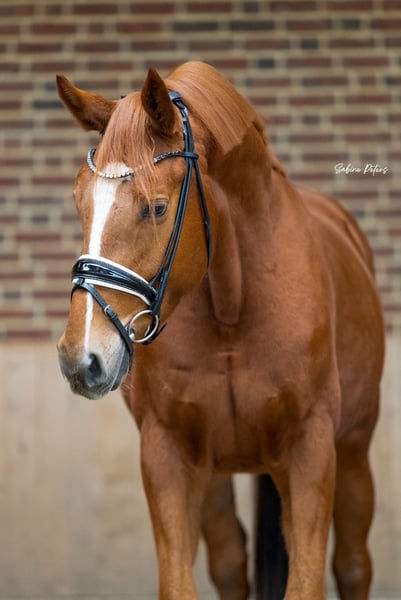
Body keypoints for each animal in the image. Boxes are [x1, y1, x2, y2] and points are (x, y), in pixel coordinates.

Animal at [56, 61, 385, 600]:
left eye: (156, 207)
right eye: (81, 202)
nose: (81, 359)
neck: (234, 306)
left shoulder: (312, 451)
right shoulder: (166, 453)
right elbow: (181, 581)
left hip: (353, 452)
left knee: (354, 566)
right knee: (231, 563)